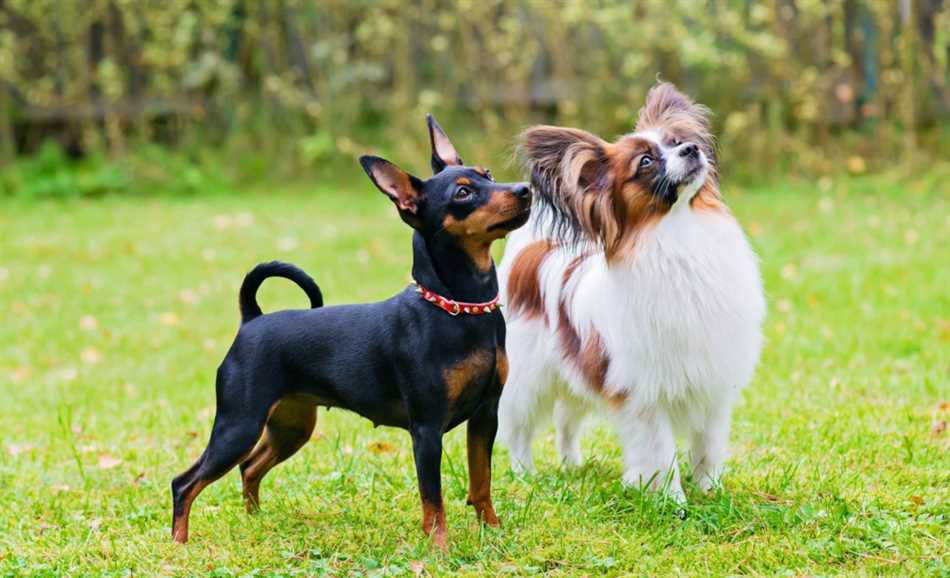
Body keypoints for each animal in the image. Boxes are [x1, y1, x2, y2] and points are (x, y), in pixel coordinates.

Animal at [168, 115, 532, 548]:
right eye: (463, 193)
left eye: (488, 174)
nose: (524, 189)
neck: (460, 309)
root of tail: (252, 319)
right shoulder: (427, 430)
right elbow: (434, 499)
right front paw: (440, 548)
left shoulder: (485, 416)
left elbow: (481, 482)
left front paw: (492, 533)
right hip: (238, 425)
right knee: (185, 482)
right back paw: (179, 543)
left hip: (291, 426)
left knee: (250, 467)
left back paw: (255, 520)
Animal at [498, 82, 768, 500]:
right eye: (645, 161)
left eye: (676, 141)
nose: (692, 149)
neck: (678, 233)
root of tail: (534, 250)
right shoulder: (644, 395)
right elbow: (661, 453)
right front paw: (674, 501)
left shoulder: (713, 386)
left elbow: (707, 446)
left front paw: (710, 491)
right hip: (528, 378)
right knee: (517, 428)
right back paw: (525, 473)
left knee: (566, 420)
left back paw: (571, 464)